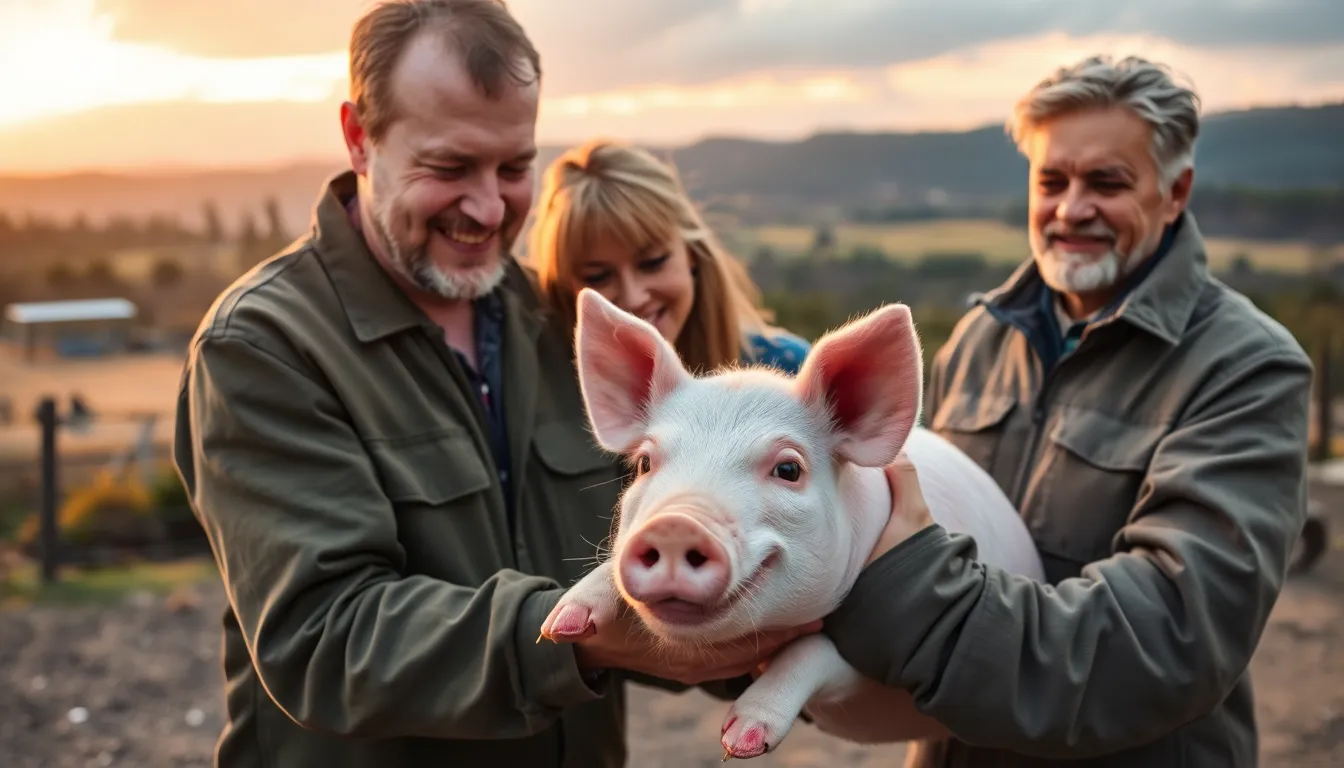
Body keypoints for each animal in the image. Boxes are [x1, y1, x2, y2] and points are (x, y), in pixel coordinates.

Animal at [539, 288, 1046, 760]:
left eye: (788, 469)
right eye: (646, 463)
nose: (675, 525)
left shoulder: (885, 657)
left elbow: (813, 650)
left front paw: (740, 742)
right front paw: (560, 625)